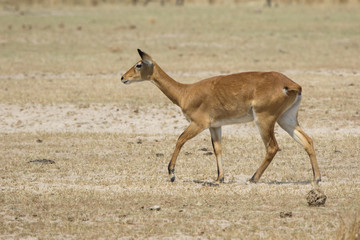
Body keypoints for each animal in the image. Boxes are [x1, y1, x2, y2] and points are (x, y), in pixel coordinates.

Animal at [121, 48, 320, 184]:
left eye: (139, 64)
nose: (123, 77)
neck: (185, 92)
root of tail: (291, 84)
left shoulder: (198, 124)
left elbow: (180, 139)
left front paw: (172, 173)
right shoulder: (215, 126)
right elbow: (217, 149)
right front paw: (219, 178)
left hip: (264, 120)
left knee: (272, 147)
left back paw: (253, 178)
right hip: (286, 119)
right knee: (307, 141)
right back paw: (316, 178)